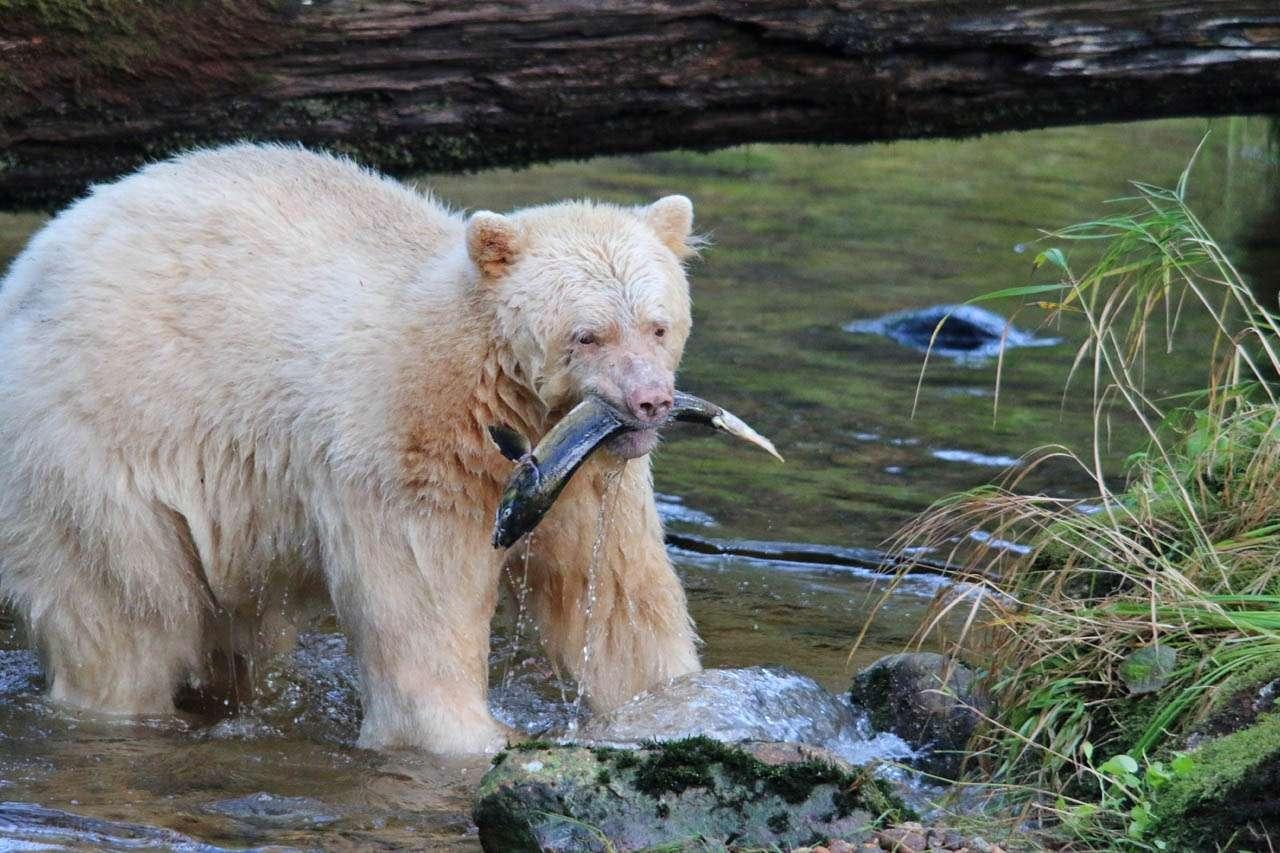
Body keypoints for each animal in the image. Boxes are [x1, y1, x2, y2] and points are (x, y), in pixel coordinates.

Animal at [0, 143, 702, 754]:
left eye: (657, 325)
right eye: (588, 335)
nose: (650, 402)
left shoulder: (585, 475)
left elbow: (614, 600)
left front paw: (674, 704)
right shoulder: (414, 448)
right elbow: (423, 606)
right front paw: (473, 736)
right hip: (95, 442)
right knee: (125, 613)